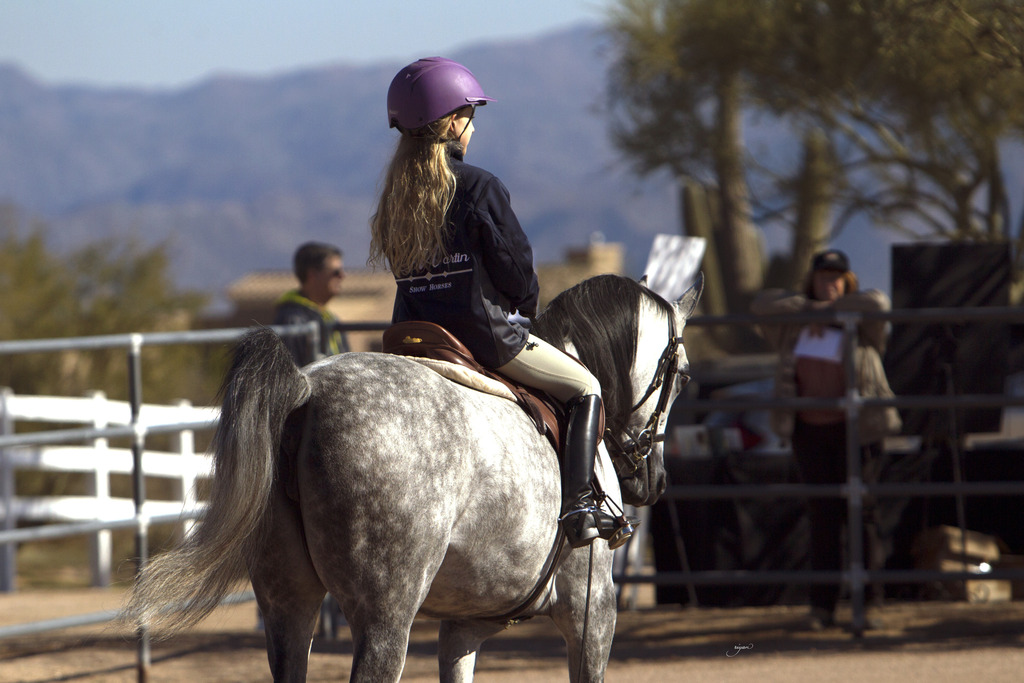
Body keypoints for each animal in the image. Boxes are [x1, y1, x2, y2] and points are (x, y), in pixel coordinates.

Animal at [124, 273, 702, 682]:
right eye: (682, 376)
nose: (653, 480)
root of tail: (305, 391)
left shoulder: (465, 624)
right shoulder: (593, 610)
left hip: (286, 604)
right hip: (386, 617)